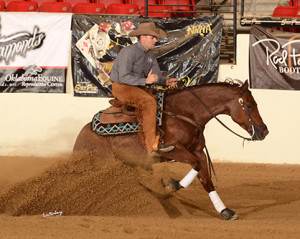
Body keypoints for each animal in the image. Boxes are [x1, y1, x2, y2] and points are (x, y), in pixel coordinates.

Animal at [73, 80, 270, 220]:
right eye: (249, 105)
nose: (264, 131)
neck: (185, 112)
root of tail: (82, 135)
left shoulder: (198, 151)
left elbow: (206, 180)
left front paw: (225, 211)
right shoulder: (172, 150)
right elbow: (195, 165)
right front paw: (171, 185)